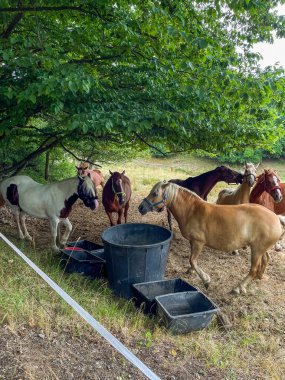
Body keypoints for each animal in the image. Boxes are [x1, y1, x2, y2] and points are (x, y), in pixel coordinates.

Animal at [137, 181, 282, 294]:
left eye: (155, 193)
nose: (141, 207)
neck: (191, 210)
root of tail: (276, 218)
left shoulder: (198, 242)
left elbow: (192, 260)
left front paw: (206, 280)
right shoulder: (193, 242)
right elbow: (193, 260)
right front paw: (191, 271)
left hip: (256, 250)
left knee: (253, 270)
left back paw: (239, 287)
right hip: (260, 249)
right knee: (266, 259)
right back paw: (259, 277)